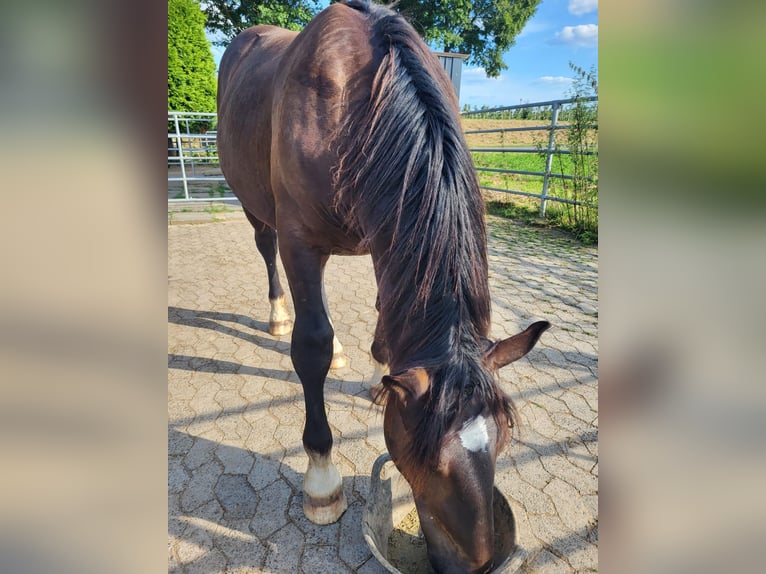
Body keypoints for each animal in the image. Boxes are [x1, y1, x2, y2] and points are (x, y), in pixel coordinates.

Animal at [218, 2, 552, 572]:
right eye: (428, 462)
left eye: (503, 441)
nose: (474, 564)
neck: (358, 99)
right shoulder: (300, 241)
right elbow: (310, 347)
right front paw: (322, 481)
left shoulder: (386, 234)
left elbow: (382, 325)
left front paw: (378, 372)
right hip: (258, 210)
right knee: (269, 254)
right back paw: (279, 315)